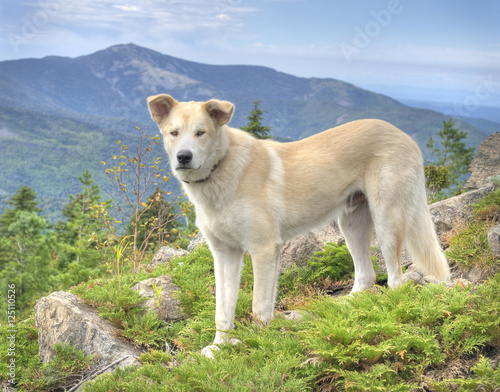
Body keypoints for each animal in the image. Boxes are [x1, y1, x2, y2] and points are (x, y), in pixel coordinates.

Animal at [146, 95, 452, 358]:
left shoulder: (264, 249)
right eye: (174, 133)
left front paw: (258, 345)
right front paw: (219, 347)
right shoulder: (224, 255)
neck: (221, 168)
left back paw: (390, 312)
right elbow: (223, 309)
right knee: (366, 275)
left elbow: (259, 306)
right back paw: (348, 310)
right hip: (350, 224)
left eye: (201, 133)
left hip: (387, 220)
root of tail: (403, 135)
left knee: (396, 278)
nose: (184, 157)